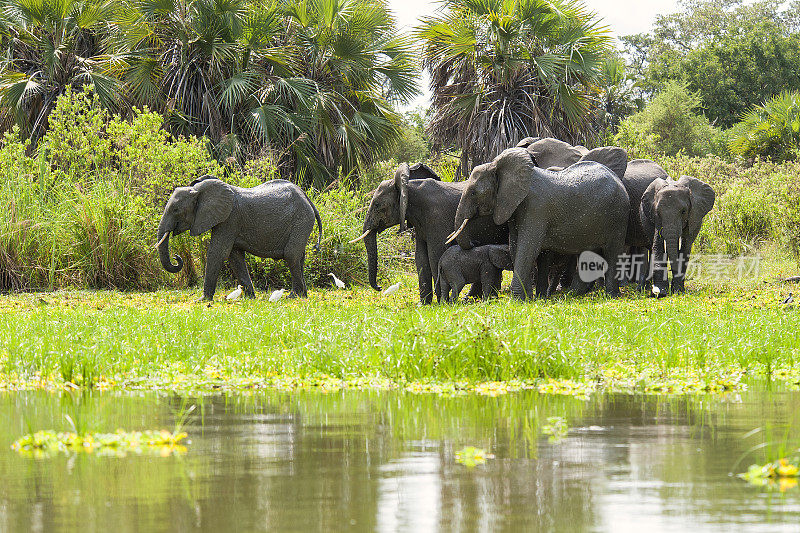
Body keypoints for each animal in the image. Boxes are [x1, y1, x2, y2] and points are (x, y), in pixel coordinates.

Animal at [156, 175, 322, 300]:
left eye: (175, 210)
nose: (176, 257)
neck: (198, 191)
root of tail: (306, 197)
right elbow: (235, 257)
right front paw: (250, 298)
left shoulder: (230, 219)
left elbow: (217, 253)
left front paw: (202, 300)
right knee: (299, 257)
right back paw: (303, 296)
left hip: (302, 219)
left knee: (291, 255)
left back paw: (293, 296)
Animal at [352, 161, 506, 304]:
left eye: (377, 205)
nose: (379, 287)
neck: (407, 187)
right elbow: (420, 257)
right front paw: (424, 304)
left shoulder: (436, 217)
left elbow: (434, 255)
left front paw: (440, 302)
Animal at [450, 148, 632, 300]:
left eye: (473, 193)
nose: (474, 242)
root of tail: (618, 180)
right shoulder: (515, 209)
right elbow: (515, 246)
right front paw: (530, 298)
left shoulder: (536, 208)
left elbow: (528, 247)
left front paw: (518, 300)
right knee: (590, 253)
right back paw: (572, 295)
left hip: (618, 216)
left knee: (612, 252)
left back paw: (611, 296)